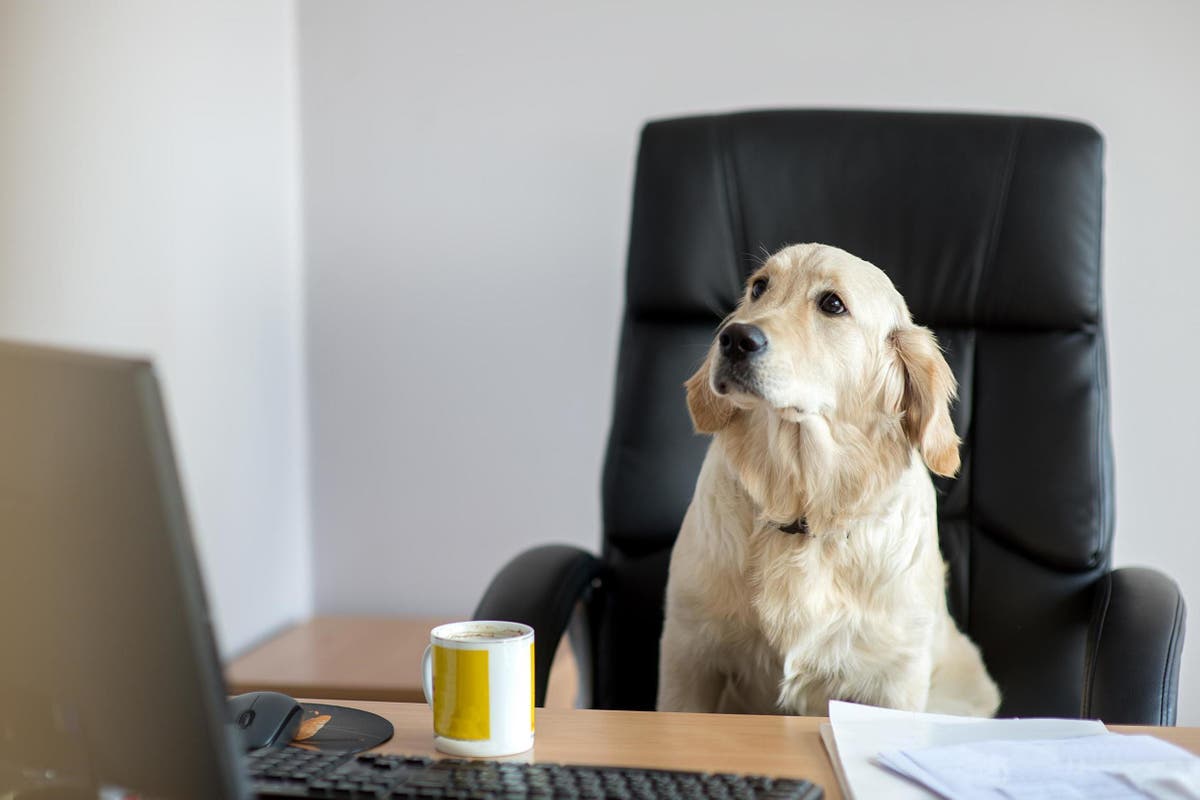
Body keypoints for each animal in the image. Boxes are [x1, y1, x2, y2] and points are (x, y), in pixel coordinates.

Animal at [657, 241, 1003, 714]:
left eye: (832, 304)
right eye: (759, 287)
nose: (735, 339)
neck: (805, 512)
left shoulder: (895, 680)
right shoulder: (689, 653)